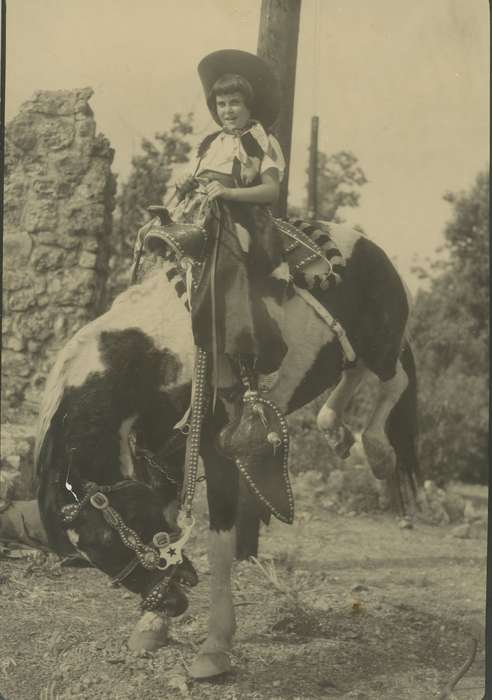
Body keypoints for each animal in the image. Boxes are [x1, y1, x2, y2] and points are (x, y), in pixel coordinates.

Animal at [35, 220, 418, 680]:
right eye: (91, 552)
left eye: (106, 537)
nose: (170, 602)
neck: (159, 355)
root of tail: (368, 245)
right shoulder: (160, 458)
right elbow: (172, 522)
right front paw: (152, 626)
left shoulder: (217, 455)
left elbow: (219, 545)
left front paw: (215, 647)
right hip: (345, 353)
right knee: (353, 369)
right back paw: (335, 430)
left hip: (382, 344)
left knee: (394, 378)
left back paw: (377, 452)